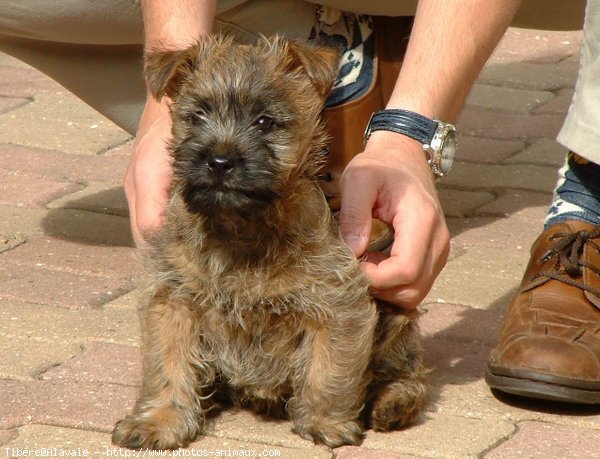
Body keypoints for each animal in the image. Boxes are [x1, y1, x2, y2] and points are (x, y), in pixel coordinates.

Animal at [110, 34, 426, 452]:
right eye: (197, 116)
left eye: (265, 122)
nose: (219, 161)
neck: (239, 228)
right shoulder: (172, 297)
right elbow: (167, 365)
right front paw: (159, 421)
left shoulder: (338, 303)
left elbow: (330, 367)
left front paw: (326, 421)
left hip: (397, 323)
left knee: (405, 370)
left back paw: (394, 402)